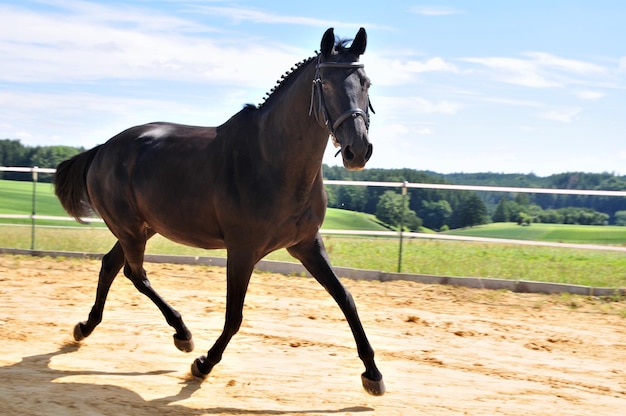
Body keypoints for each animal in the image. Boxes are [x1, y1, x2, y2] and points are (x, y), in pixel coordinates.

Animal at [54, 27, 386, 394]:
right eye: (324, 84)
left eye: (366, 82)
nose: (359, 150)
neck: (272, 160)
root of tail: (102, 149)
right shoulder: (242, 250)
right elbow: (234, 315)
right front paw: (204, 364)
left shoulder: (306, 244)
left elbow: (346, 298)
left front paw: (373, 374)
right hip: (130, 229)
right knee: (134, 273)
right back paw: (182, 334)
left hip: (143, 227)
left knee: (112, 266)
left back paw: (85, 327)